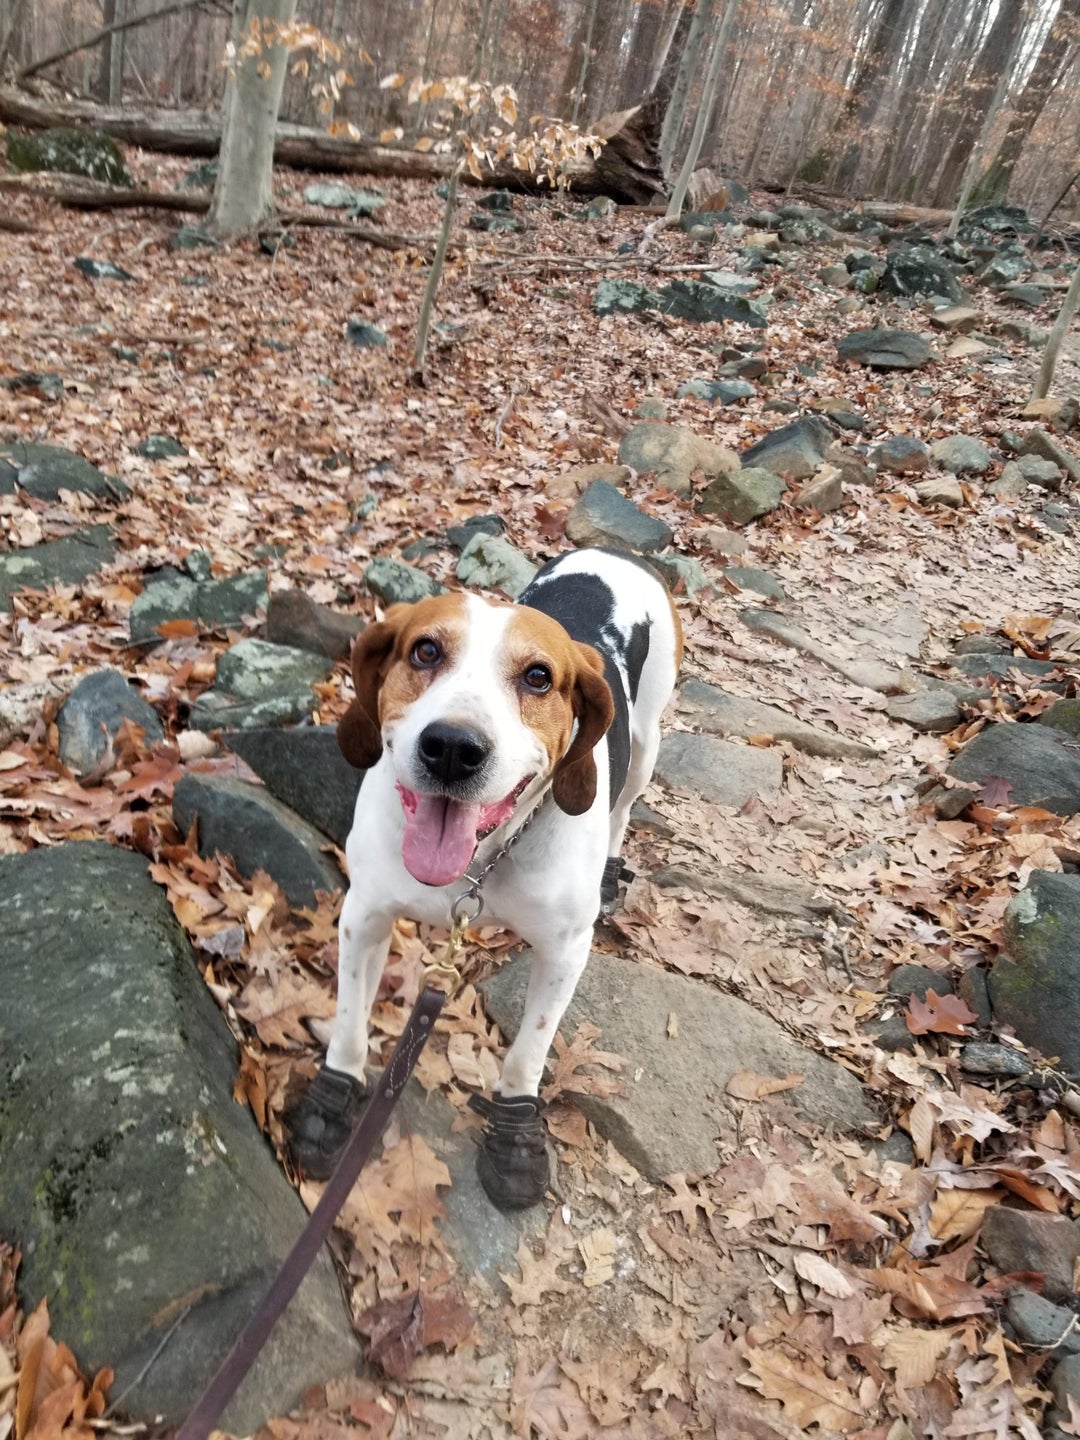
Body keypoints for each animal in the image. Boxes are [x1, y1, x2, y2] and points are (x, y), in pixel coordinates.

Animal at [283, 544, 679, 1209]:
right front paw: (333, 1098)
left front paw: (516, 1133)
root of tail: (617, 550)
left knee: (625, 804)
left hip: (648, 743)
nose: (452, 747)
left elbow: (529, 1052)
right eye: (424, 651)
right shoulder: (364, 915)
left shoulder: (565, 952)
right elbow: (349, 1024)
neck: (480, 862)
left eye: (539, 677)